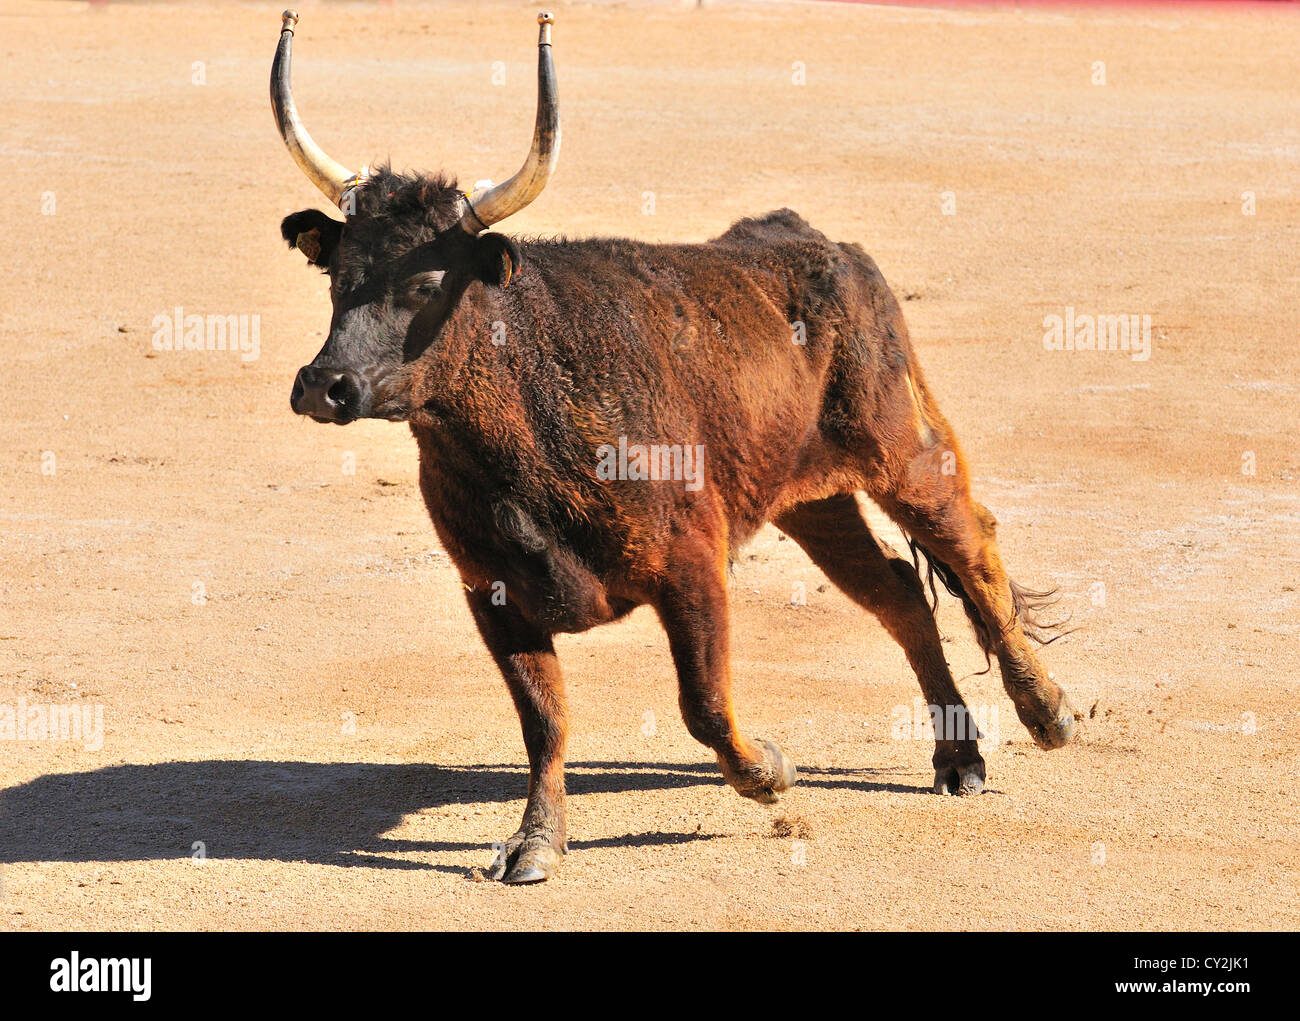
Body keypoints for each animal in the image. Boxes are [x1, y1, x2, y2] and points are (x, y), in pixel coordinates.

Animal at [271, 11, 1076, 879]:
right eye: (335, 277)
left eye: (425, 284)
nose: (323, 384)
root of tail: (833, 248)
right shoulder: (490, 589)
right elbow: (543, 720)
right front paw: (535, 842)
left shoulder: (691, 561)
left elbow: (704, 703)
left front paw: (771, 770)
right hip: (815, 498)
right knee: (897, 591)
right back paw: (958, 757)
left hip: (902, 451)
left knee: (974, 549)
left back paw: (1049, 713)